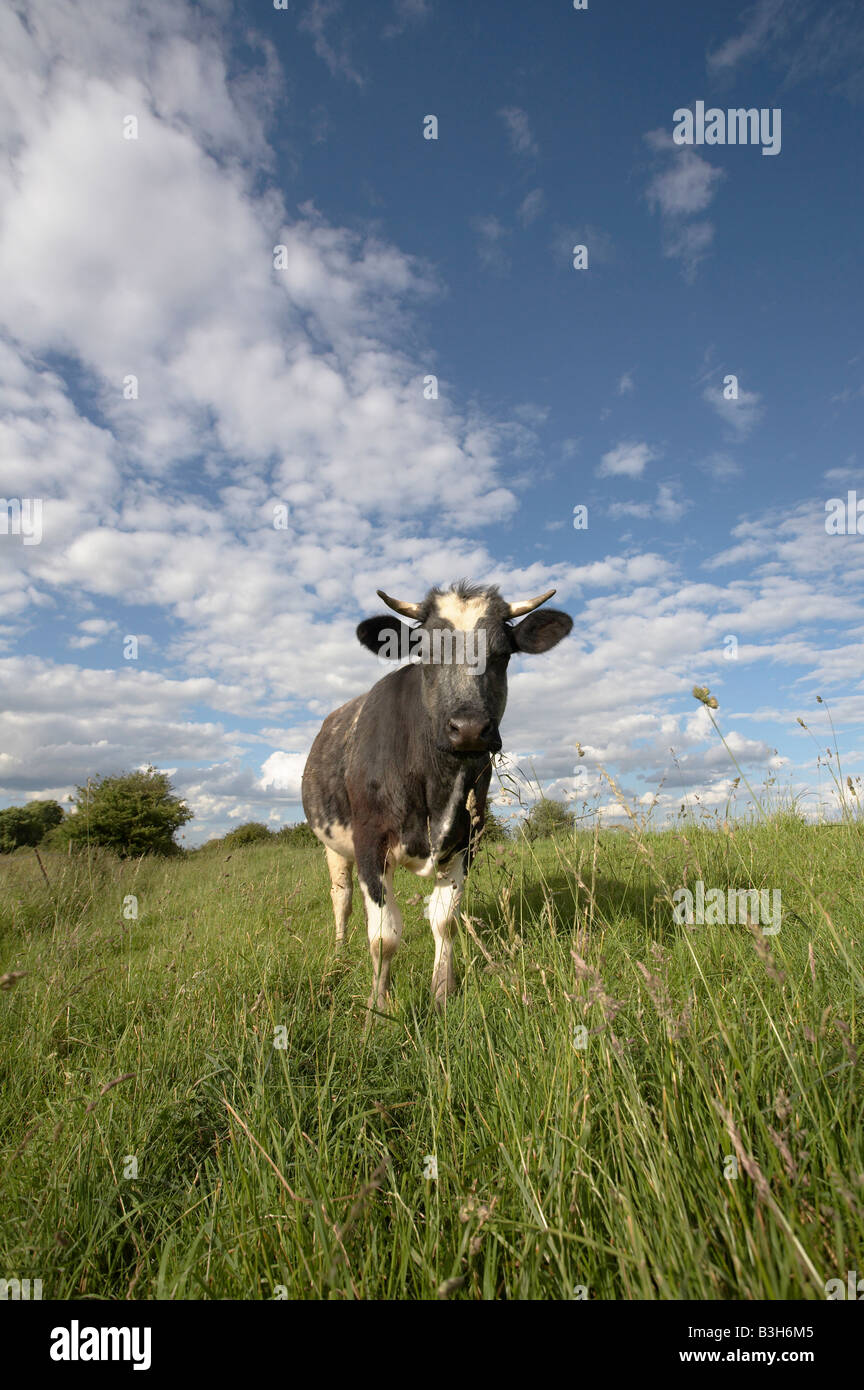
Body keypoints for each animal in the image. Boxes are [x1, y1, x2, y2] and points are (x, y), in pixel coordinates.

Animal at [302, 581, 575, 1017]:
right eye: (425, 653)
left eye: (502, 655)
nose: (469, 729)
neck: (435, 788)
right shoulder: (369, 842)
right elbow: (384, 936)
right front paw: (379, 1007)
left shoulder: (466, 841)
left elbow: (444, 920)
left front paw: (443, 993)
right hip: (333, 844)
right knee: (341, 899)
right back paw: (339, 954)